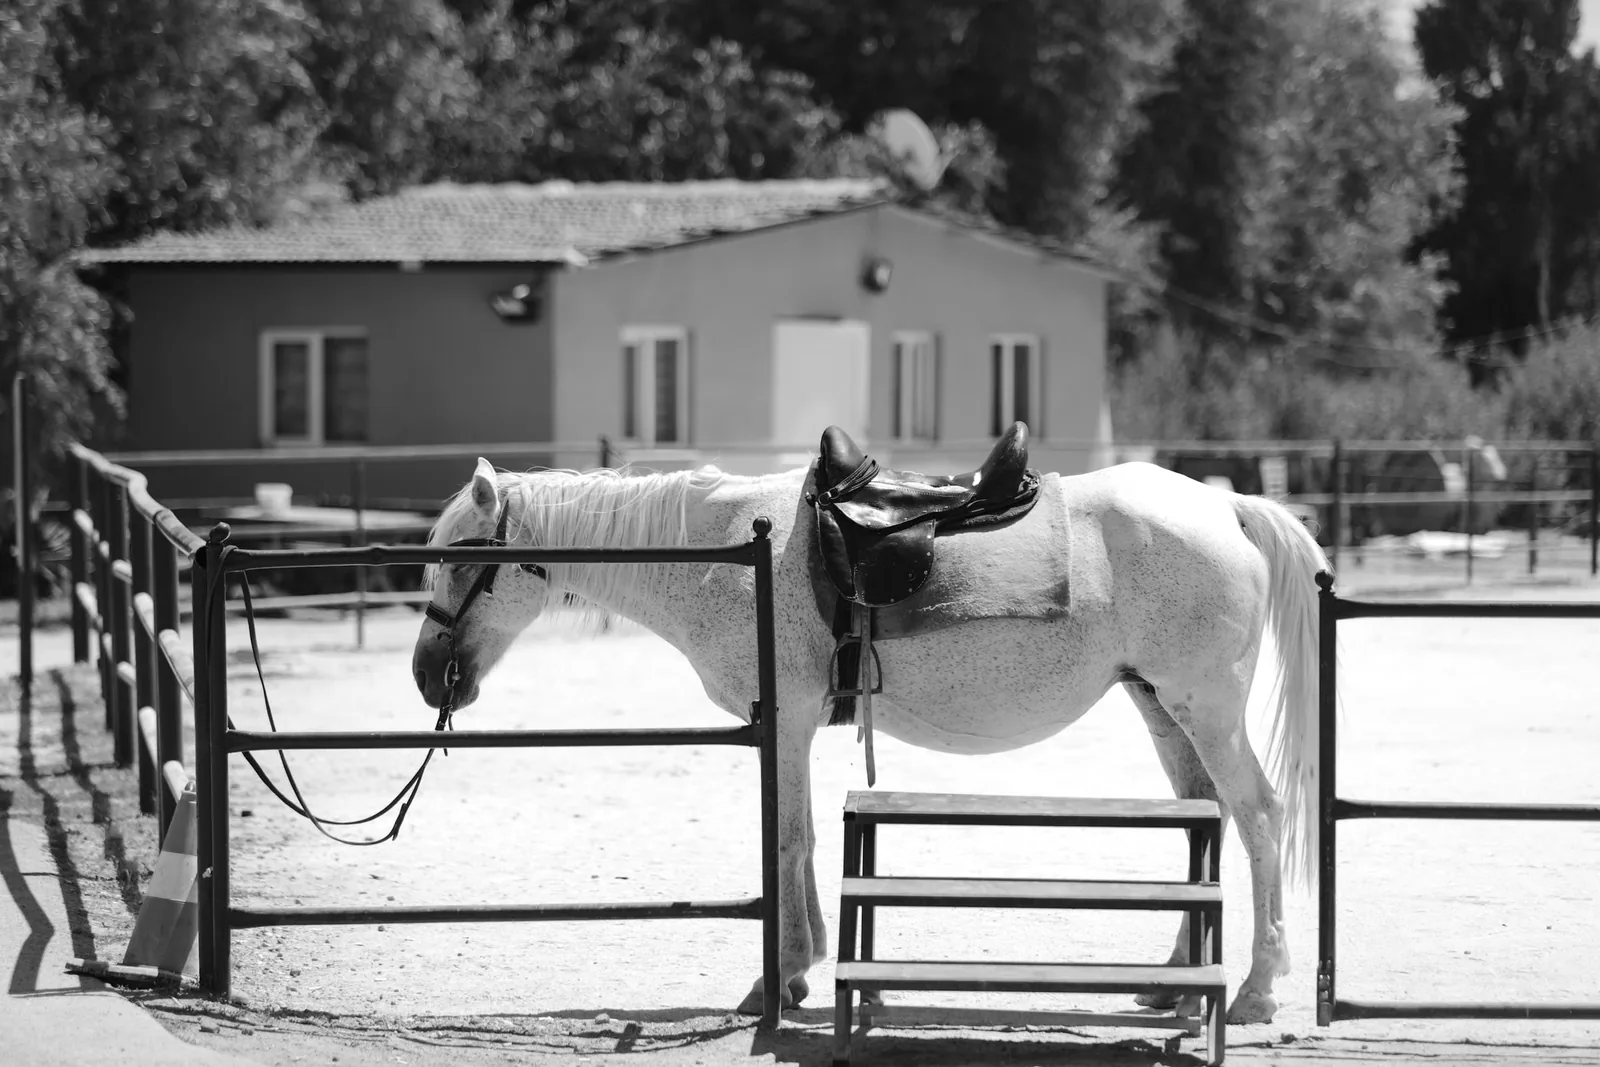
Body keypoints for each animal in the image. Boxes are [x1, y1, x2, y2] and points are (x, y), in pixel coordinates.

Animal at [411, 454, 1328, 1025]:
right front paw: (805, 964)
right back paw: (1176, 982)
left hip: (1206, 707)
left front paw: (778, 976)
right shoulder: (795, 725)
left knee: (1257, 816)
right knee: (1204, 814)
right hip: (1161, 704)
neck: (731, 558)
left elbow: (785, 839)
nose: (426, 675)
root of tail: (1224, 505)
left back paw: (1254, 989)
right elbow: (806, 837)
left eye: (458, 557)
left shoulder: (781, 717)